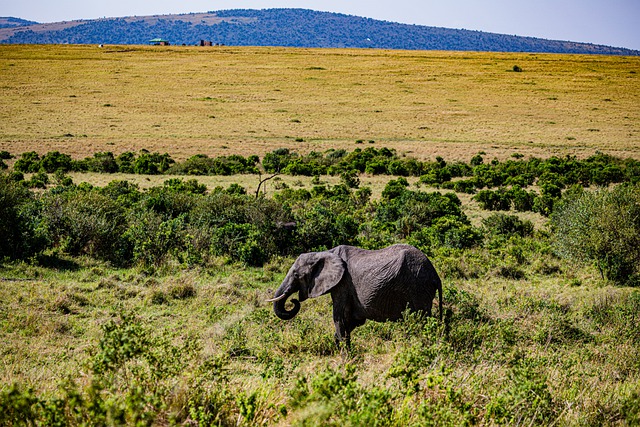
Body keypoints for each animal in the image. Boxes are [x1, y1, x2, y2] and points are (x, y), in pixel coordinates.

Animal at [268, 246, 442, 350]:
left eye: (296, 274)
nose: (293, 301)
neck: (325, 252)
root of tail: (435, 275)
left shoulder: (342, 284)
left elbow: (338, 317)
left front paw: (345, 358)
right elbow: (353, 320)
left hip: (417, 286)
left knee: (421, 319)